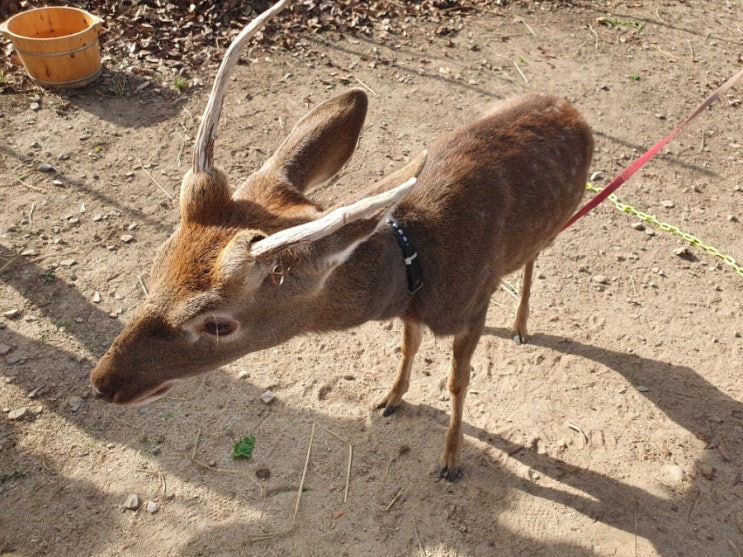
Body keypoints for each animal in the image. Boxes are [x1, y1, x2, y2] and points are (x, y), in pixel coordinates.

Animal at [90, 0, 596, 480]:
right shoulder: (413, 310)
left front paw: (450, 460)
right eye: (155, 267)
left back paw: (521, 326)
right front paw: (390, 399)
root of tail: (571, 106)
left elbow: (458, 381)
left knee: (533, 260)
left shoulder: (473, 306)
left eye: (217, 324)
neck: (417, 268)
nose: (102, 382)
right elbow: (408, 346)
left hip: (553, 225)